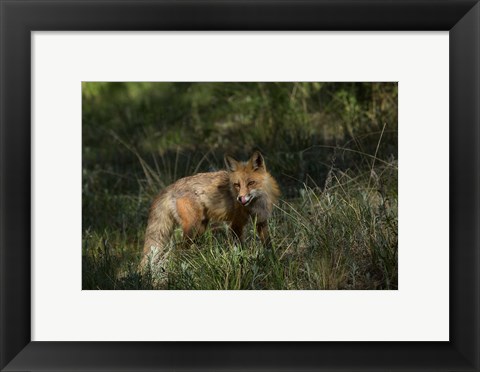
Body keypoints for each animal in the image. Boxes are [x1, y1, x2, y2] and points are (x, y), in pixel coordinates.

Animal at [141, 151, 280, 268]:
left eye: (251, 183)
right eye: (237, 185)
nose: (240, 199)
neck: (256, 204)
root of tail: (171, 186)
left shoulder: (261, 221)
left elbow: (268, 246)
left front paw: (273, 262)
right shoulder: (236, 224)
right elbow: (240, 250)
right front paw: (242, 265)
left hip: (200, 228)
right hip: (193, 227)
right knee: (178, 250)